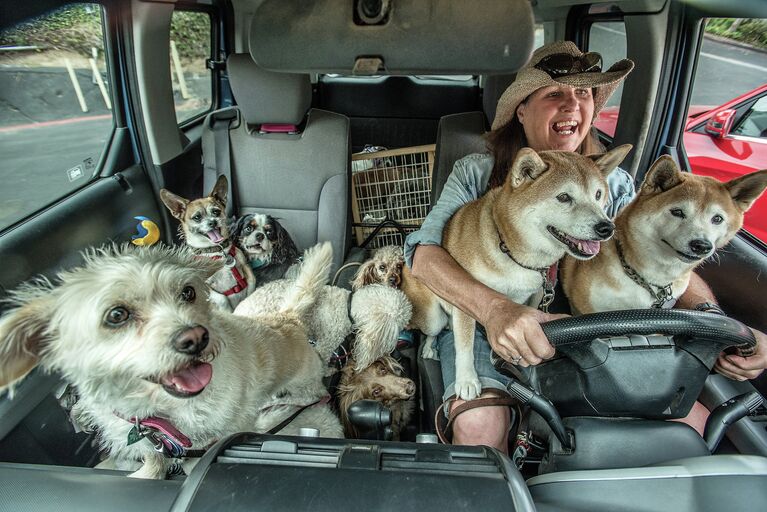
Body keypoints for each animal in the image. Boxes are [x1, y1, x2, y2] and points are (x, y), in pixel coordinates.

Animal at [0, 242, 342, 478]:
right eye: (116, 315)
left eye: (188, 292)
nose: (196, 337)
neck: (160, 412)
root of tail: (288, 318)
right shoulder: (142, 439)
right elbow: (154, 459)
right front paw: (146, 475)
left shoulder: (226, 431)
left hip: (306, 386)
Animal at [159, 176, 255, 312]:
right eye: (197, 217)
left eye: (216, 212)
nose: (213, 222)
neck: (216, 251)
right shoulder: (202, 284)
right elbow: (221, 298)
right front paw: (228, 312)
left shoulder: (246, 267)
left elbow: (251, 284)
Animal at [402, 144, 632, 400]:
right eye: (564, 197)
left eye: (598, 195)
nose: (606, 227)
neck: (511, 250)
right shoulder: (464, 292)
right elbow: (464, 345)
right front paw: (466, 379)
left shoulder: (536, 292)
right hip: (433, 316)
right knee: (432, 331)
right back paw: (429, 348)